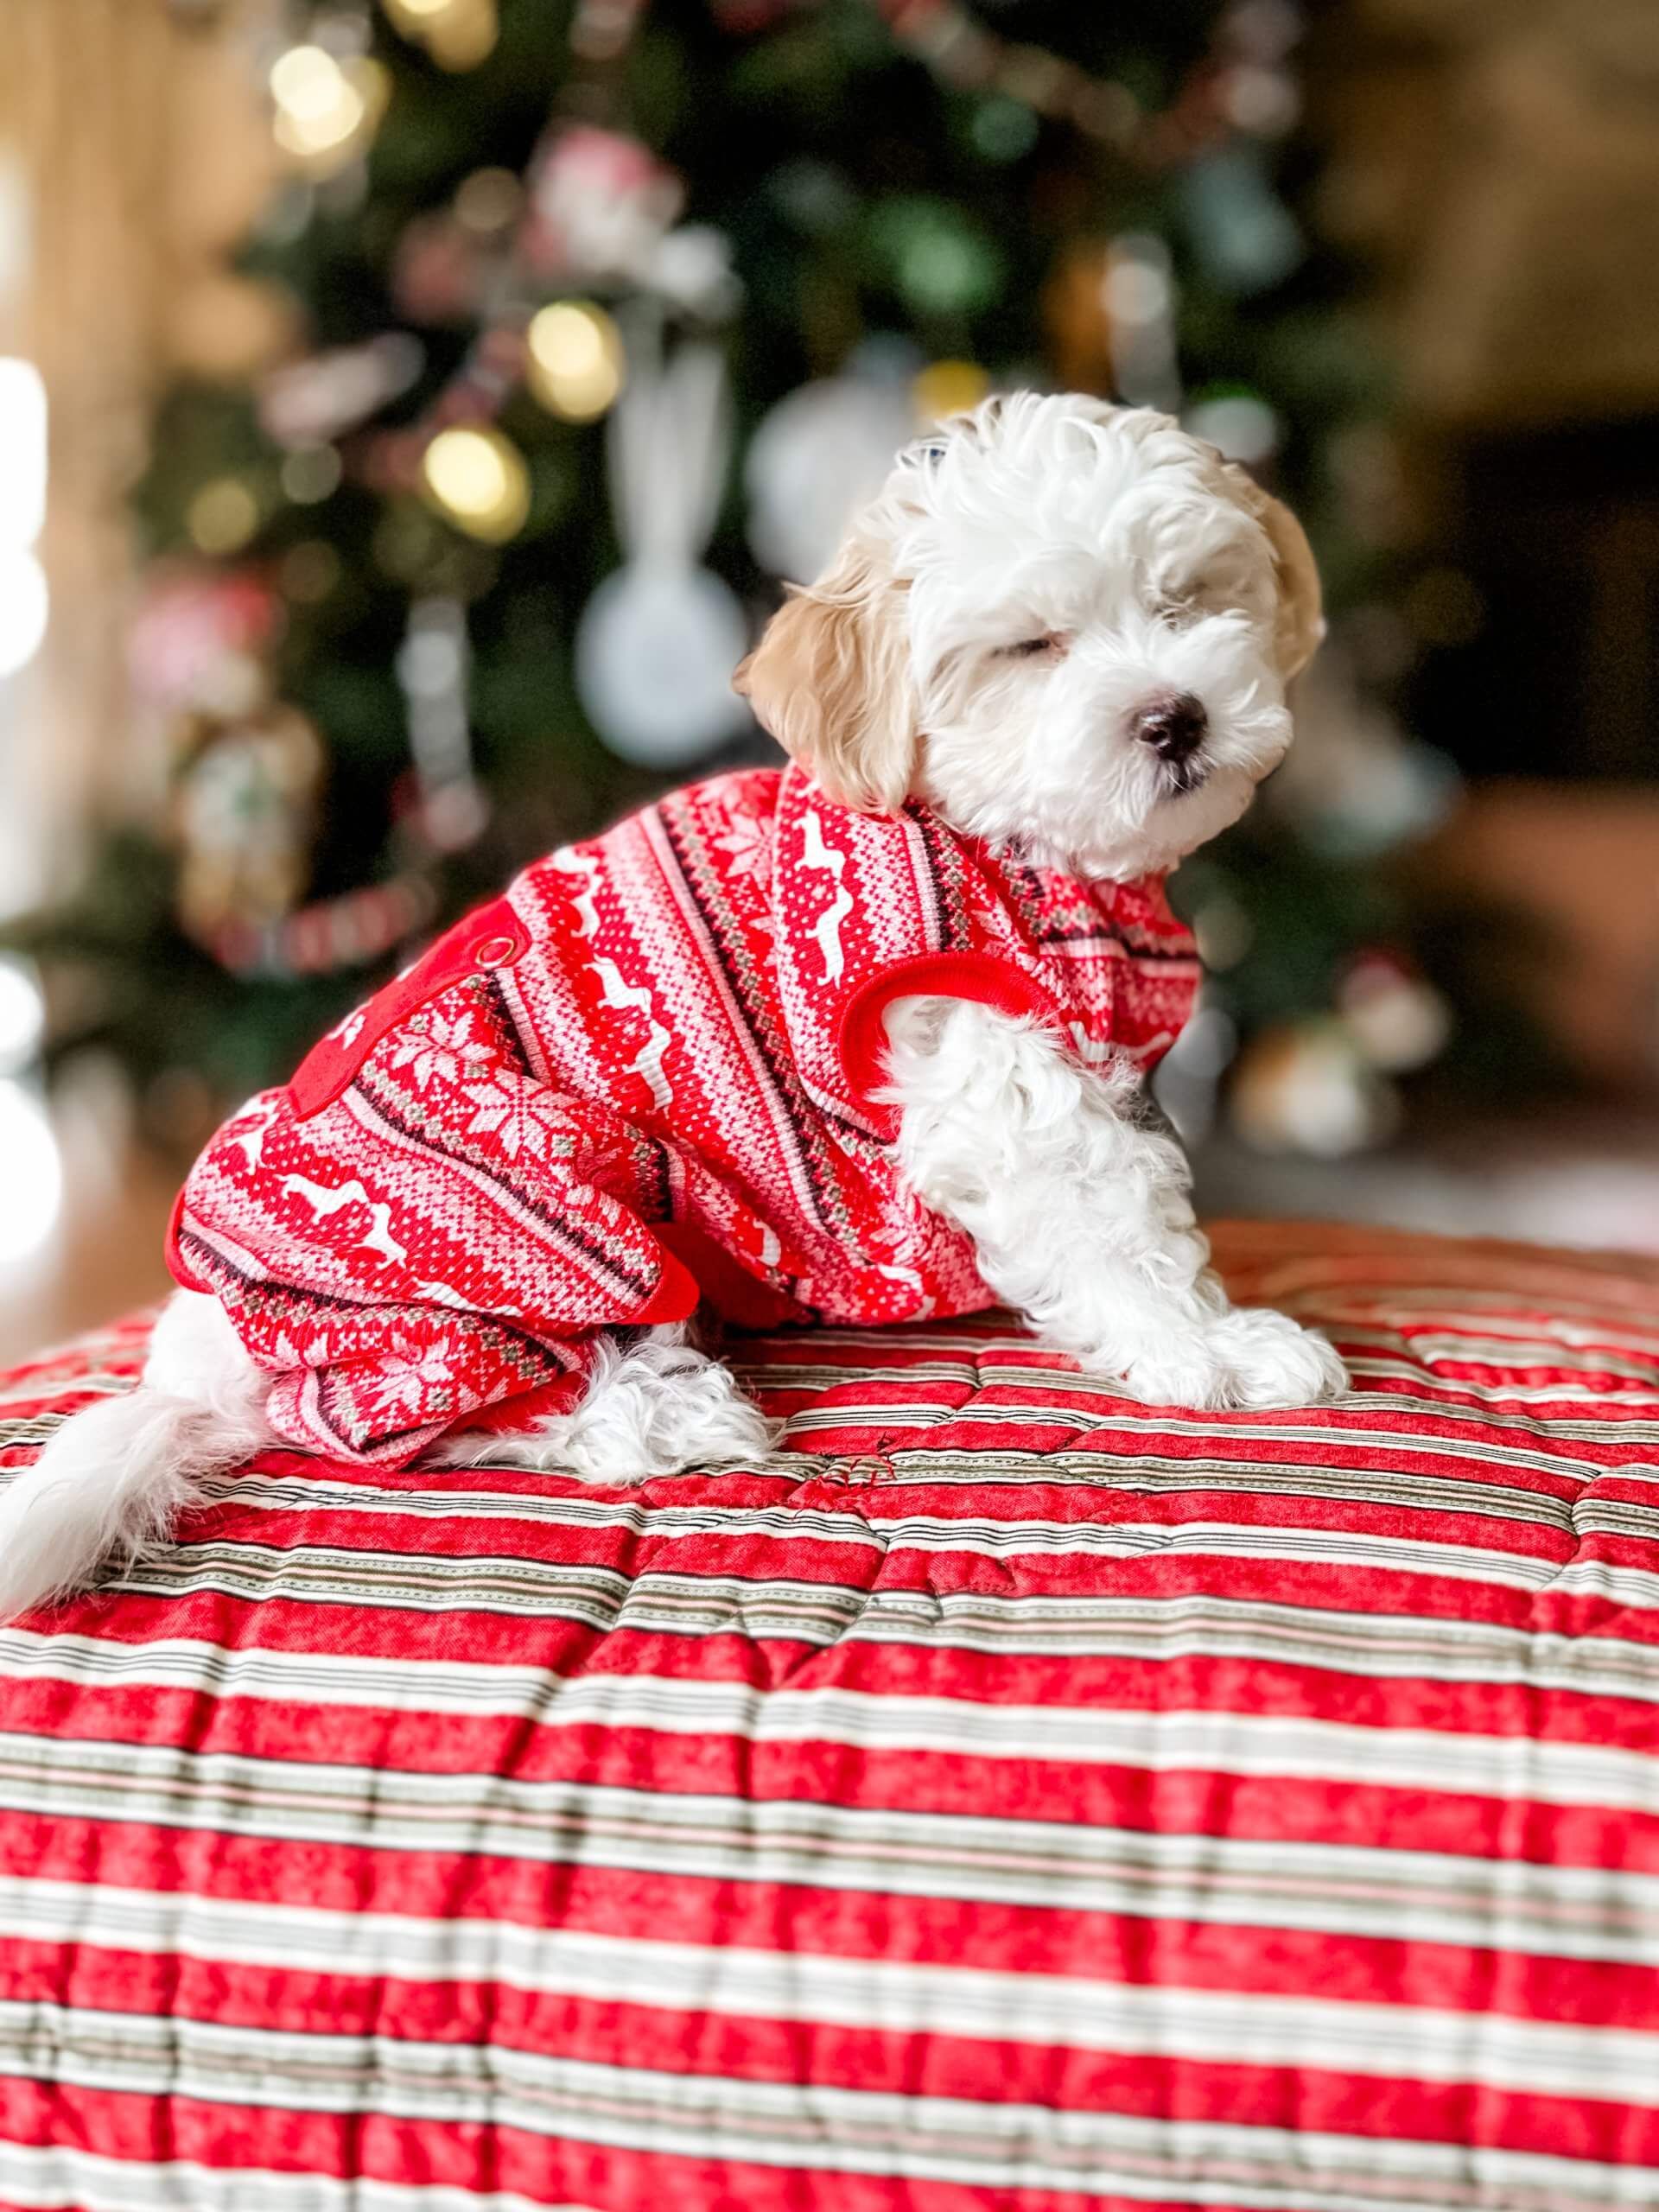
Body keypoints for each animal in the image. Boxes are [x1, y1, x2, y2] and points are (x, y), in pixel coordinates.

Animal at [0, 393, 1344, 1610]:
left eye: (1187, 600)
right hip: (522, 1223)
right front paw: (1214, 1348)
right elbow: (1111, 1221)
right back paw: (658, 1415)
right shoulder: (988, 1056)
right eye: (1029, 649)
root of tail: (196, 1358)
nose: (1175, 716)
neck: (1024, 859)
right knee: (421, 1418)